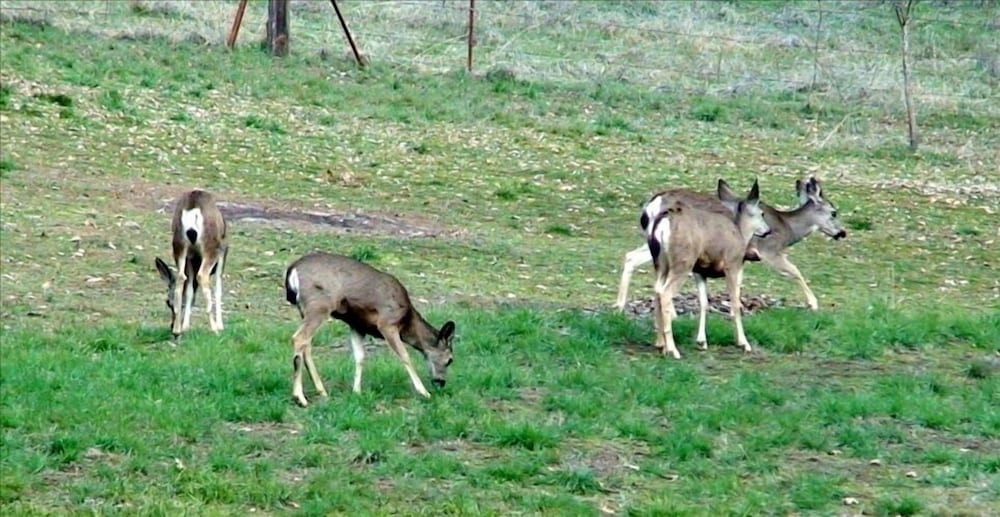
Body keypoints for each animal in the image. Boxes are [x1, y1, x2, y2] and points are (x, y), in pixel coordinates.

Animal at [153, 187, 228, 336]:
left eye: (168, 302)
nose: (171, 325)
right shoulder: (223, 252)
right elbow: (218, 289)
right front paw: (221, 325)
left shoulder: (190, 258)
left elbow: (189, 291)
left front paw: (185, 326)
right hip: (210, 247)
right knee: (202, 276)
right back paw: (214, 329)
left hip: (179, 245)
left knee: (181, 278)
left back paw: (178, 330)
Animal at [282, 251, 454, 408]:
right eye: (450, 359)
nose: (441, 382)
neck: (407, 321)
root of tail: (292, 269)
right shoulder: (387, 323)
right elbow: (405, 356)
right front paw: (425, 392)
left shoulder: (357, 325)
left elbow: (360, 357)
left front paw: (356, 391)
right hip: (319, 304)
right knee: (299, 338)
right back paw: (299, 397)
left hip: (305, 309)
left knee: (307, 345)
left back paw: (321, 391)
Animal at [616, 175, 844, 312]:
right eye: (834, 212)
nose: (842, 232)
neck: (786, 228)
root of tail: (652, 204)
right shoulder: (769, 250)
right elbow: (795, 271)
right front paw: (813, 303)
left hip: (656, 244)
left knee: (631, 256)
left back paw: (619, 304)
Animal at [648, 179, 772, 356]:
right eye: (761, 213)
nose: (768, 230)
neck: (740, 234)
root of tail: (664, 222)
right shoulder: (732, 265)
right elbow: (735, 304)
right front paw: (744, 343)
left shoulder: (700, 271)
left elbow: (704, 303)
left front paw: (701, 342)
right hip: (683, 261)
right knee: (665, 293)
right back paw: (673, 349)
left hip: (661, 263)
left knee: (657, 290)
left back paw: (660, 344)